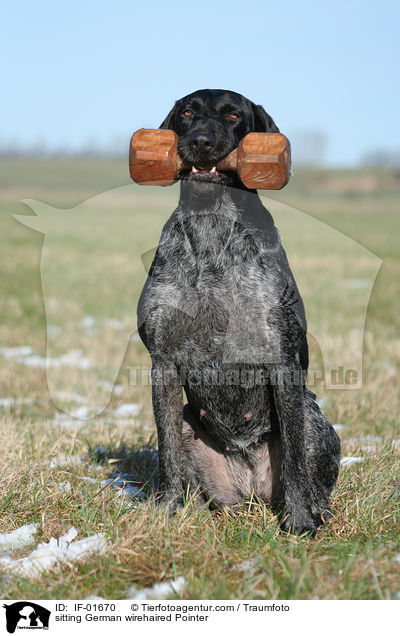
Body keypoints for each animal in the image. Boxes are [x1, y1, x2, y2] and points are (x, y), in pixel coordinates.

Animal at [138, 89, 340, 536]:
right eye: (187, 112)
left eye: (233, 115)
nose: (200, 141)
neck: (212, 226)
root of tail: (250, 487)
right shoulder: (162, 362)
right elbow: (166, 454)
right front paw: (165, 512)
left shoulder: (281, 361)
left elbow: (296, 462)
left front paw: (300, 522)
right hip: (189, 428)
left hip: (312, 418)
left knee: (311, 474)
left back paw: (315, 510)